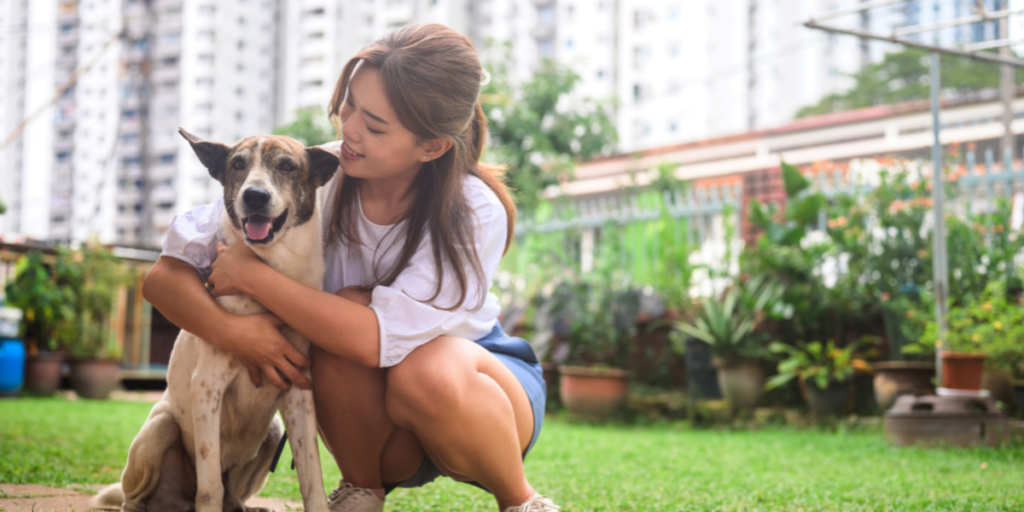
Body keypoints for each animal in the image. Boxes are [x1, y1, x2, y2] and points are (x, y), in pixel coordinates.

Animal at [95, 129, 339, 512]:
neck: (271, 271)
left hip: (272, 433)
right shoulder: (208, 385)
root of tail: (174, 503)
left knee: (232, 494)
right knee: (137, 498)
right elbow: (209, 485)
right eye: (238, 164)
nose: (254, 196)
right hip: (161, 427)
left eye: (287, 166)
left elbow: (311, 477)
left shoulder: (299, 392)